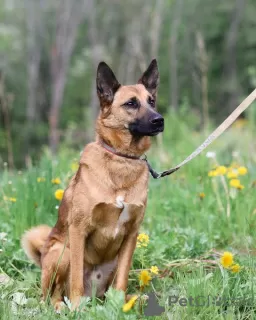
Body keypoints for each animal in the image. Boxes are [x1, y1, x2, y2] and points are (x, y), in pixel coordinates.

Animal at [21, 58, 164, 310]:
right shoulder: (79, 230)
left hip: (111, 263)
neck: (121, 159)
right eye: (131, 103)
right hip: (61, 252)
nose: (159, 120)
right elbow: (77, 276)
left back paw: (133, 299)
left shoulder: (131, 235)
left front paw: (120, 306)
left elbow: (122, 279)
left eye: (151, 101)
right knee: (51, 296)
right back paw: (62, 306)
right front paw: (77, 309)